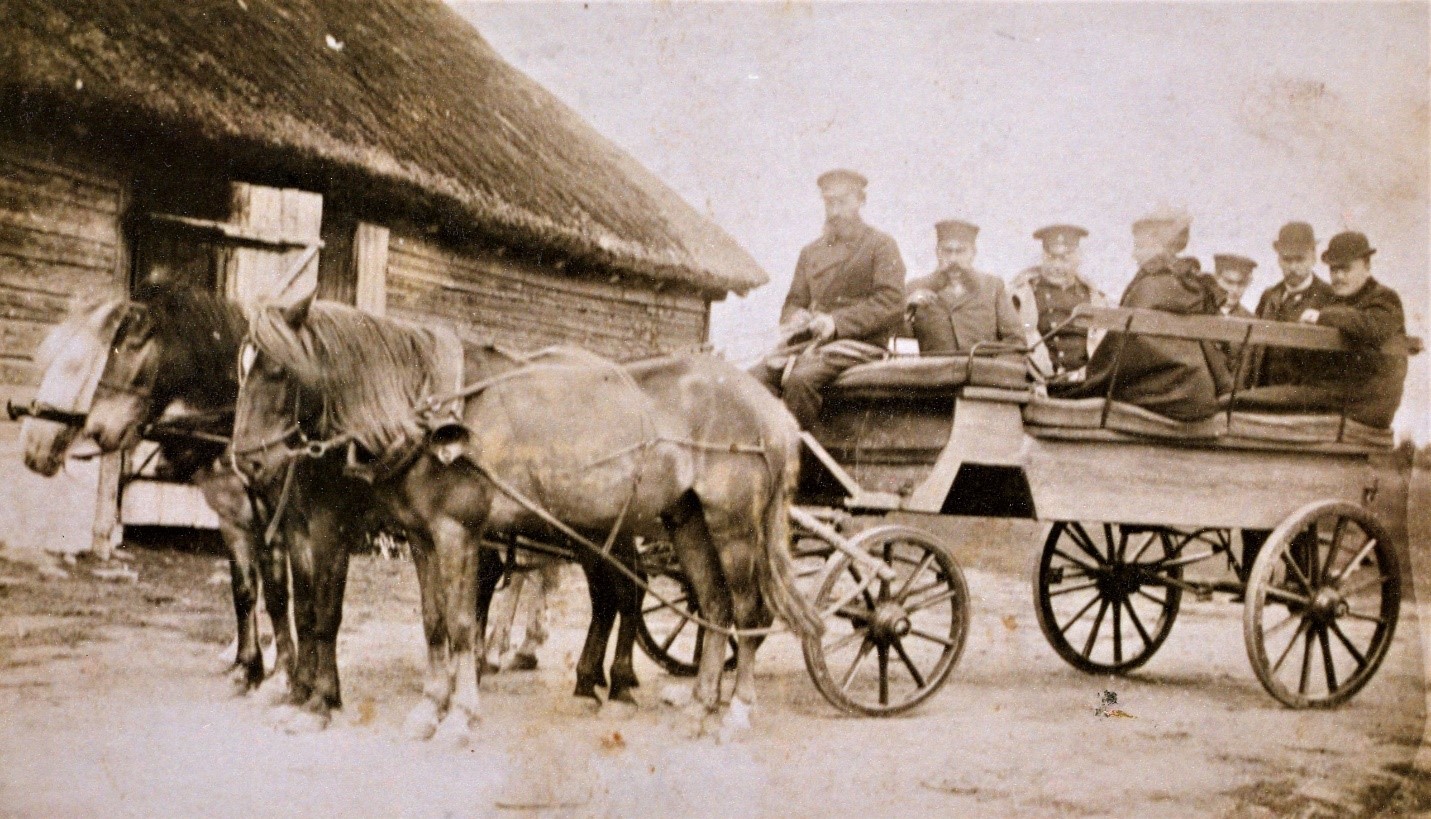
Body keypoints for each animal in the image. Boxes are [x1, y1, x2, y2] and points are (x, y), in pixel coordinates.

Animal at [233, 299, 818, 744]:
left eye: (279, 370)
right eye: (242, 369)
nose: (248, 463)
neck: (433, 411)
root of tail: (772, 411)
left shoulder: (454, 531)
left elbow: (460, 623)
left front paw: (459, 716)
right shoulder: (421, 536)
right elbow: (433, 624)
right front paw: (429, 708)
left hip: (733, 527)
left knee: (746, 611)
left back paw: (734, 709)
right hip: (685, 521)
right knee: (710, 605)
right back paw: (696, 705)